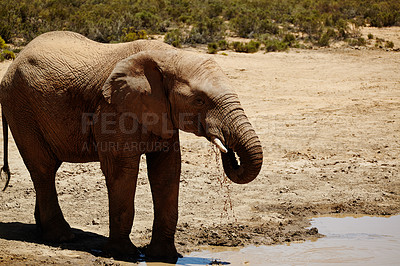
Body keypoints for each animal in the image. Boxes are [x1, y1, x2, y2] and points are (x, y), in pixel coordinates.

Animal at [0, 31, 262, 262]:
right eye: (200, 100)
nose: (227, 148)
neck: (170, 56)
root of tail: (15, 59)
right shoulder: (112, 109)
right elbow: (122, 171)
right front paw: (124, 254)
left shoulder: (162, 113)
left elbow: (167, 171)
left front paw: (165, 257)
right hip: (20, 107)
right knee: (43, 169)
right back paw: (62, 237)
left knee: (47, 170)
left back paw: (44, 231)